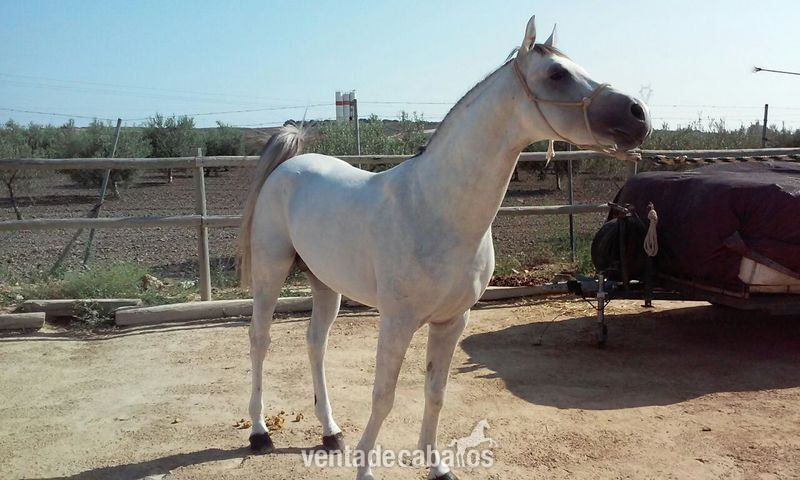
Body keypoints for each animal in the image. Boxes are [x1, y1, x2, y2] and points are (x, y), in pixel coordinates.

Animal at [238, 15, 651, 480]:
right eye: (557, 73)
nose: (638, 114)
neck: (436, 208)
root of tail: (289, 166)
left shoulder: (452, 322)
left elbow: (435, 393)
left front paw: (436, 466)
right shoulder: (397, 323)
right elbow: (383, 396)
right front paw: (365, 469)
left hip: (326, 284)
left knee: (315, 344)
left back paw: (331, 432)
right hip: (270, 273)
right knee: (260, 340)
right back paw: (259, 433)